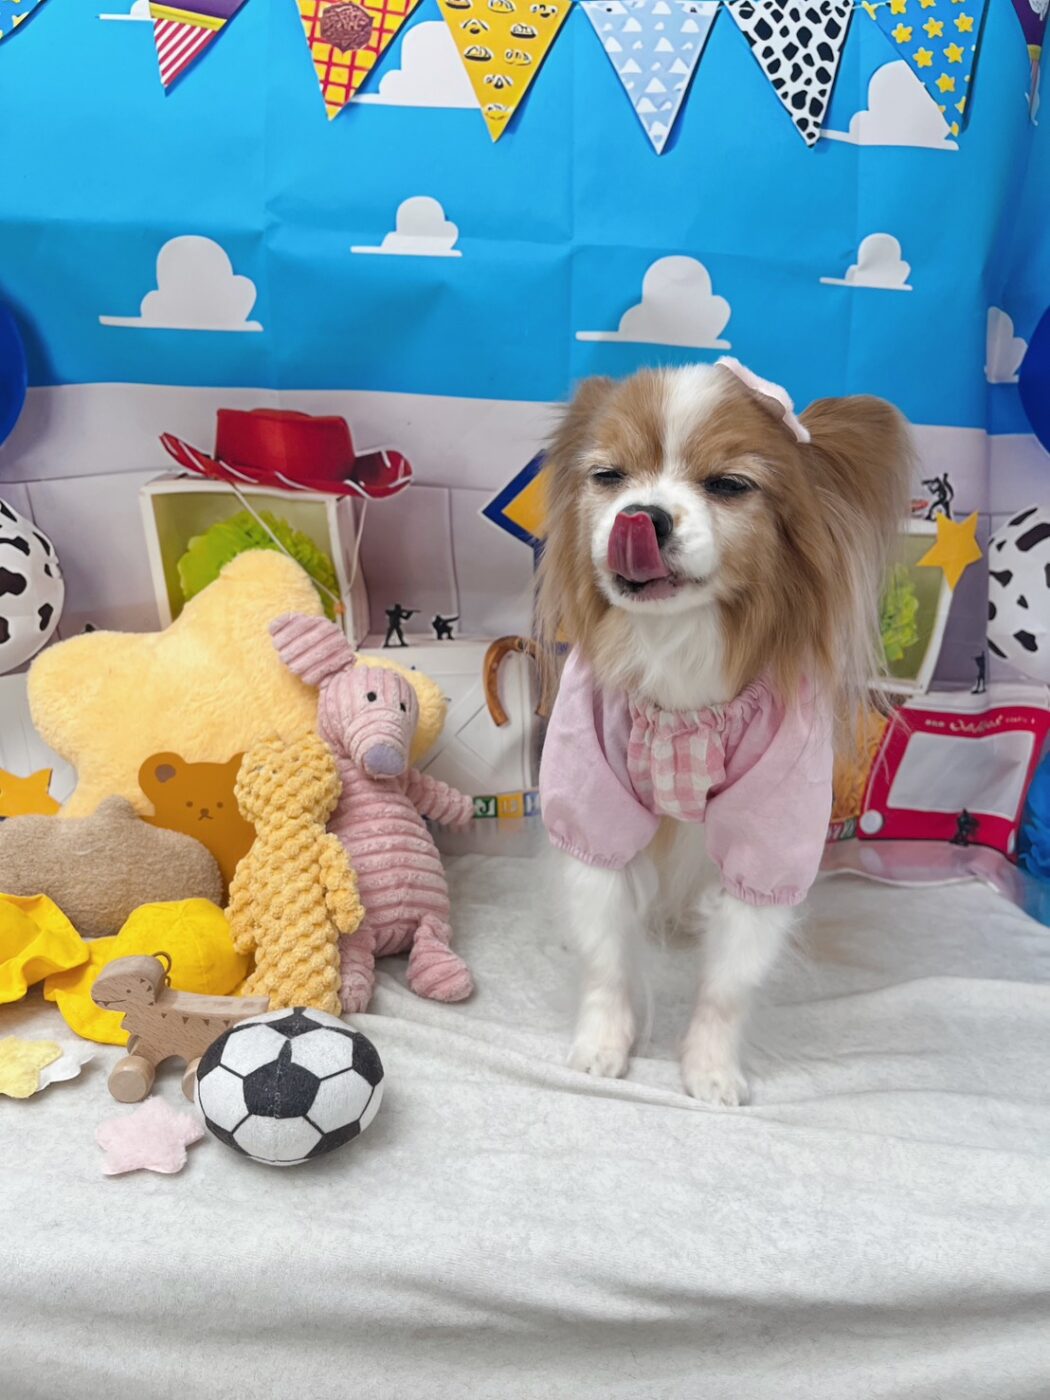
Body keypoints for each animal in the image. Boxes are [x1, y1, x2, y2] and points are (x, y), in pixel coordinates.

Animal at [535, 357, 911, 1105]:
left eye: (729, 485)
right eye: (608, 477)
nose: (640, 516)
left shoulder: (771, 836)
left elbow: (732, 978)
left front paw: (710, 1067)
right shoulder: (592, 804)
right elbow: (605, 949)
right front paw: (603, 1043)